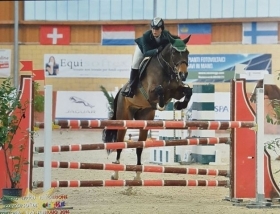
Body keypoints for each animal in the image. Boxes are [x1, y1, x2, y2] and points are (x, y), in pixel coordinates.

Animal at [102, 36, 192, 180]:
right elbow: (160, 90)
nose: (183, 75)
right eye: (174, 53)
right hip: (124, 118)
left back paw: (138, 175)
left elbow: (188, 91)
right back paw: (115, 172)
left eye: (187, 52)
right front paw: (161, 105)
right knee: (120, 144)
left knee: (139, 146)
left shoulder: (175, 92)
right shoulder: (151, 92)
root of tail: (121, 91)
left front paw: (179, 105)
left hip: (144, 119)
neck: (166, 69)